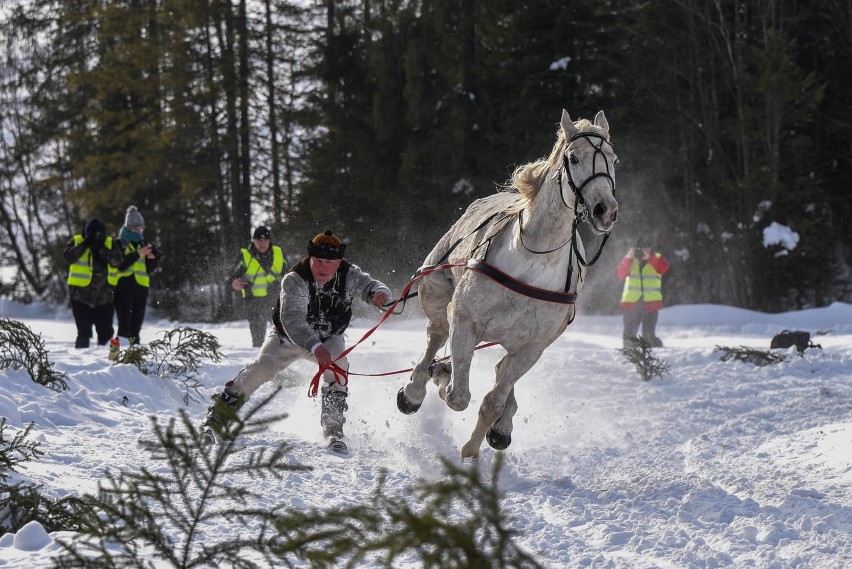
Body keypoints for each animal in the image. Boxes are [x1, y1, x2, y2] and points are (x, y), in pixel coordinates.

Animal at [396, 108, 616, 460]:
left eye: (613, 158)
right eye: (574, 158)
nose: (604, 210)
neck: (533, 261)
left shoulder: (533, 346)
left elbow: (493, 401)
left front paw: (472, 448)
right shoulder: (465, 322)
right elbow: (458, 396)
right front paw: (442, 377)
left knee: (501, 371)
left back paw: (501, 424)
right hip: (435, 292)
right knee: (436, 334)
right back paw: (416, 388)